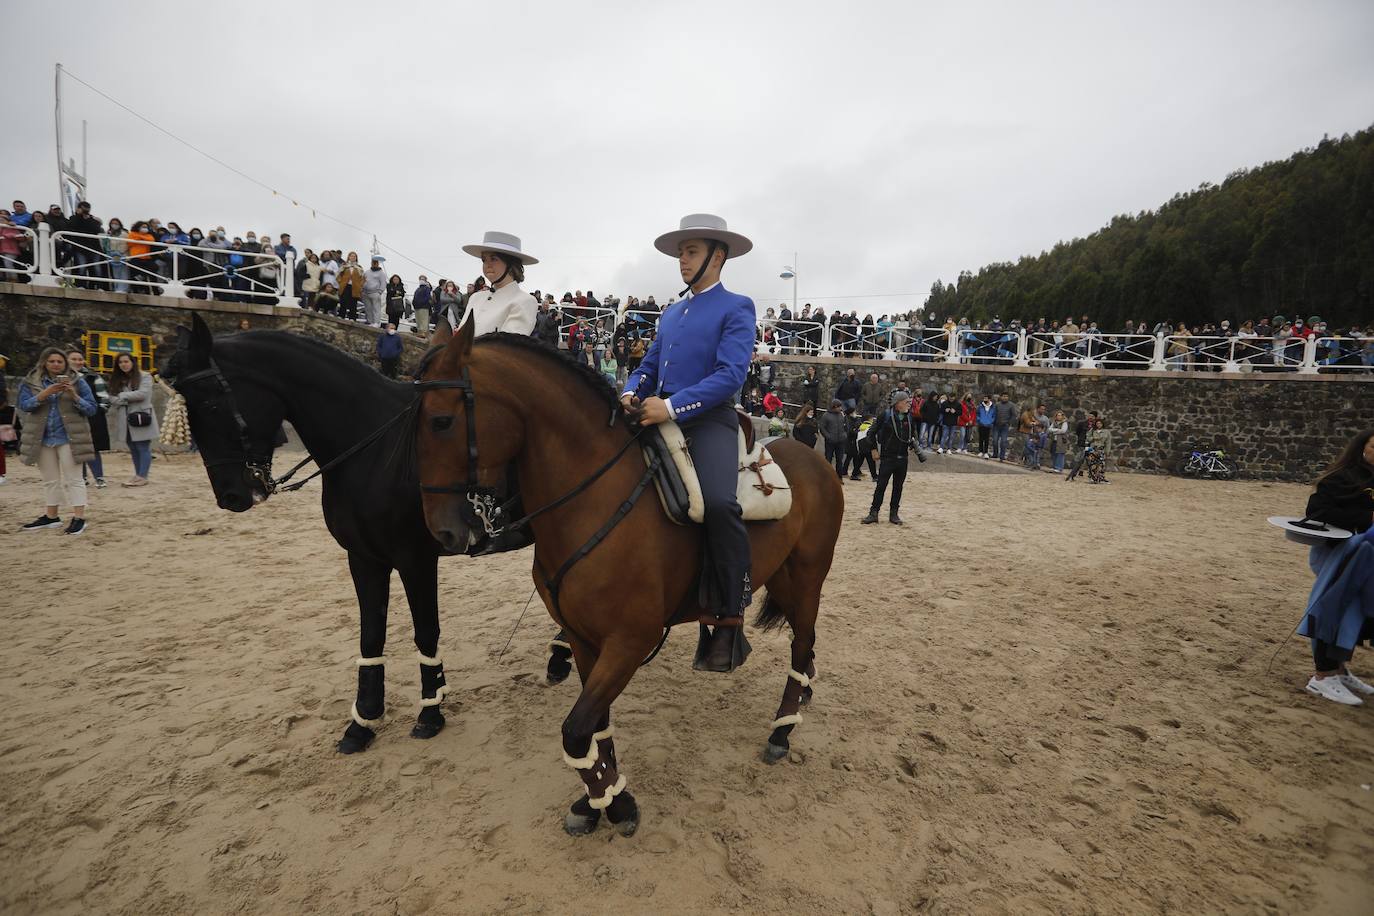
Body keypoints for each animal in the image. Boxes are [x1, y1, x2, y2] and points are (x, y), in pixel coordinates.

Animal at [167, 313, 574, 752]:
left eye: (210, 403)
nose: (231, 496)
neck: (375, 451)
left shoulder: (415, 559)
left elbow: (425, 632)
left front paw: (431, 712)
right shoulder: (363, 558)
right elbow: (371, 635)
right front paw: (362, 721)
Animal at [412, 321, 840, 840]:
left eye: (440, 421)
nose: (443, 532)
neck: (591, 499)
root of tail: (812, 456)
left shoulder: (629, 642)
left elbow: (575, 732)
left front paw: (617, 805)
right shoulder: (583, 639)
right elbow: (595, 728)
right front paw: (596, 800)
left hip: (807, 580)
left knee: (802, 643)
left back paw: (782, 729)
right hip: (779, 579)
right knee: (805, 643)